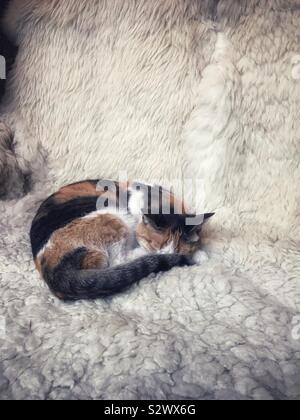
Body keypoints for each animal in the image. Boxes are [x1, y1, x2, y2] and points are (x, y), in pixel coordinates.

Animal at [29, 179, 213, 300]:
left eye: (179, 249)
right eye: (153, 245)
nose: (170, 255)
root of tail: (51, 271)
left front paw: (199, 254)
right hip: (115, 217)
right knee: (118, 261)